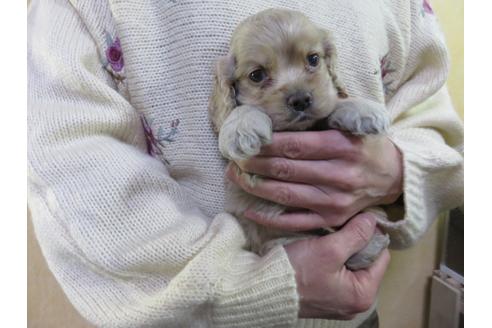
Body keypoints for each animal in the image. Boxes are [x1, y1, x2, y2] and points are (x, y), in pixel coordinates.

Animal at [209, 9, 390, 270]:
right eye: (257, 75)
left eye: (313, 59)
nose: (301, 100)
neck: (299, 131)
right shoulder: (246, 172)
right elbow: (242, 111)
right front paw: (241, 126)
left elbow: (331, 104)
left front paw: (363, 109)